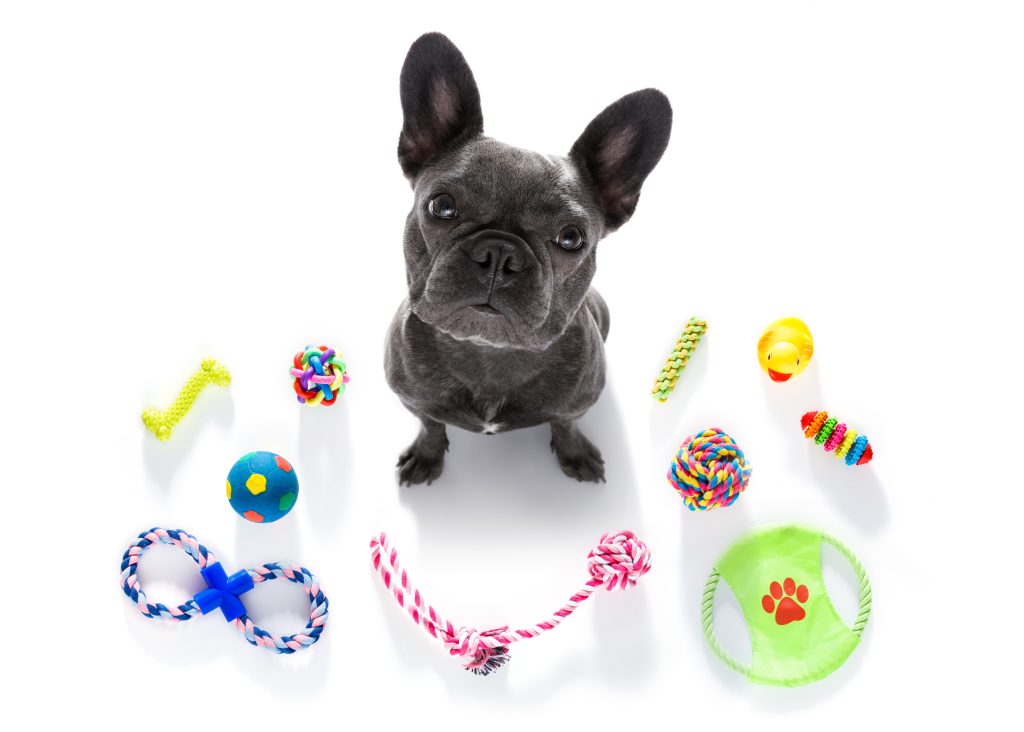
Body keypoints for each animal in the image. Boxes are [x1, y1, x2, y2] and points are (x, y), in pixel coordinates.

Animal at [385, 33, 671, 487]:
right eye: (442, 206)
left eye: (571, 238)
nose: (499, 253)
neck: (489, 353)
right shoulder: (412, 399)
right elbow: (430, 424)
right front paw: (427, 455)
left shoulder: (577, 405)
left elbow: (566, 424)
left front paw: (575, 454)